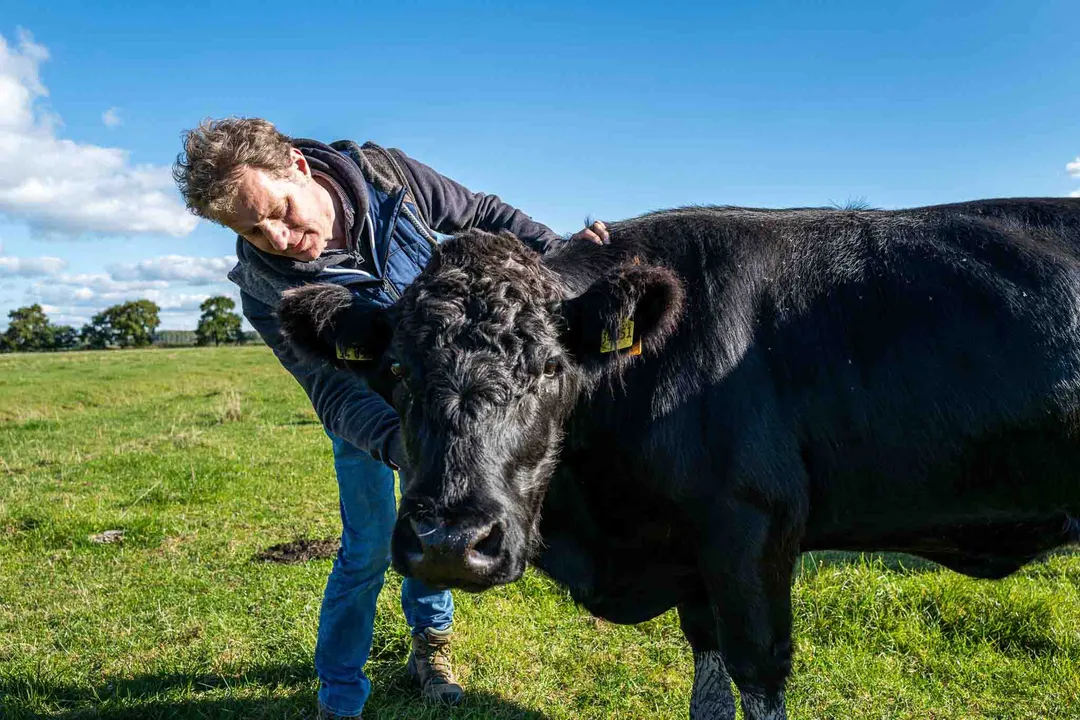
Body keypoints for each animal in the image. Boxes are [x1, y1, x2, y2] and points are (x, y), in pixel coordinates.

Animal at [277, 198, 1080, 720]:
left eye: (550, 368)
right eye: (400, 371)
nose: (449, 542)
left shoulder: (750, 531)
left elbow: (757, 677)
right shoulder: (694, 556)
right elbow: (710, 683)